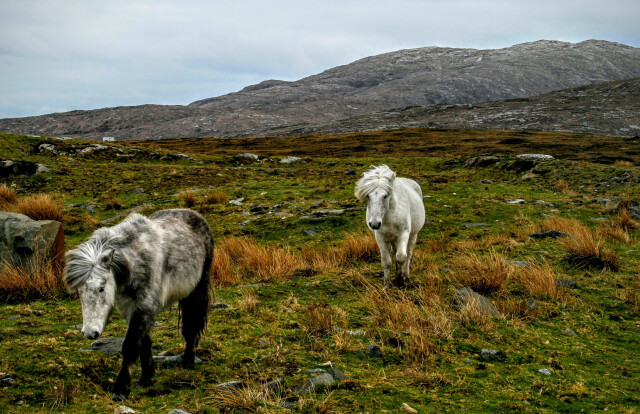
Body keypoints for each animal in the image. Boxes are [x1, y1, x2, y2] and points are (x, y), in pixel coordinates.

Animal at [64, 209, 213, 401]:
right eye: (79, 292)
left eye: (101, 288)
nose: (90, 333)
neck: (134, 263)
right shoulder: (130, 309)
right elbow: (144, 341)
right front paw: (147, 378)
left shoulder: (143, 307)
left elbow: (131, 344)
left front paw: (121, 389)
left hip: (195, 290)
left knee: (191, 326)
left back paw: (188, 362)